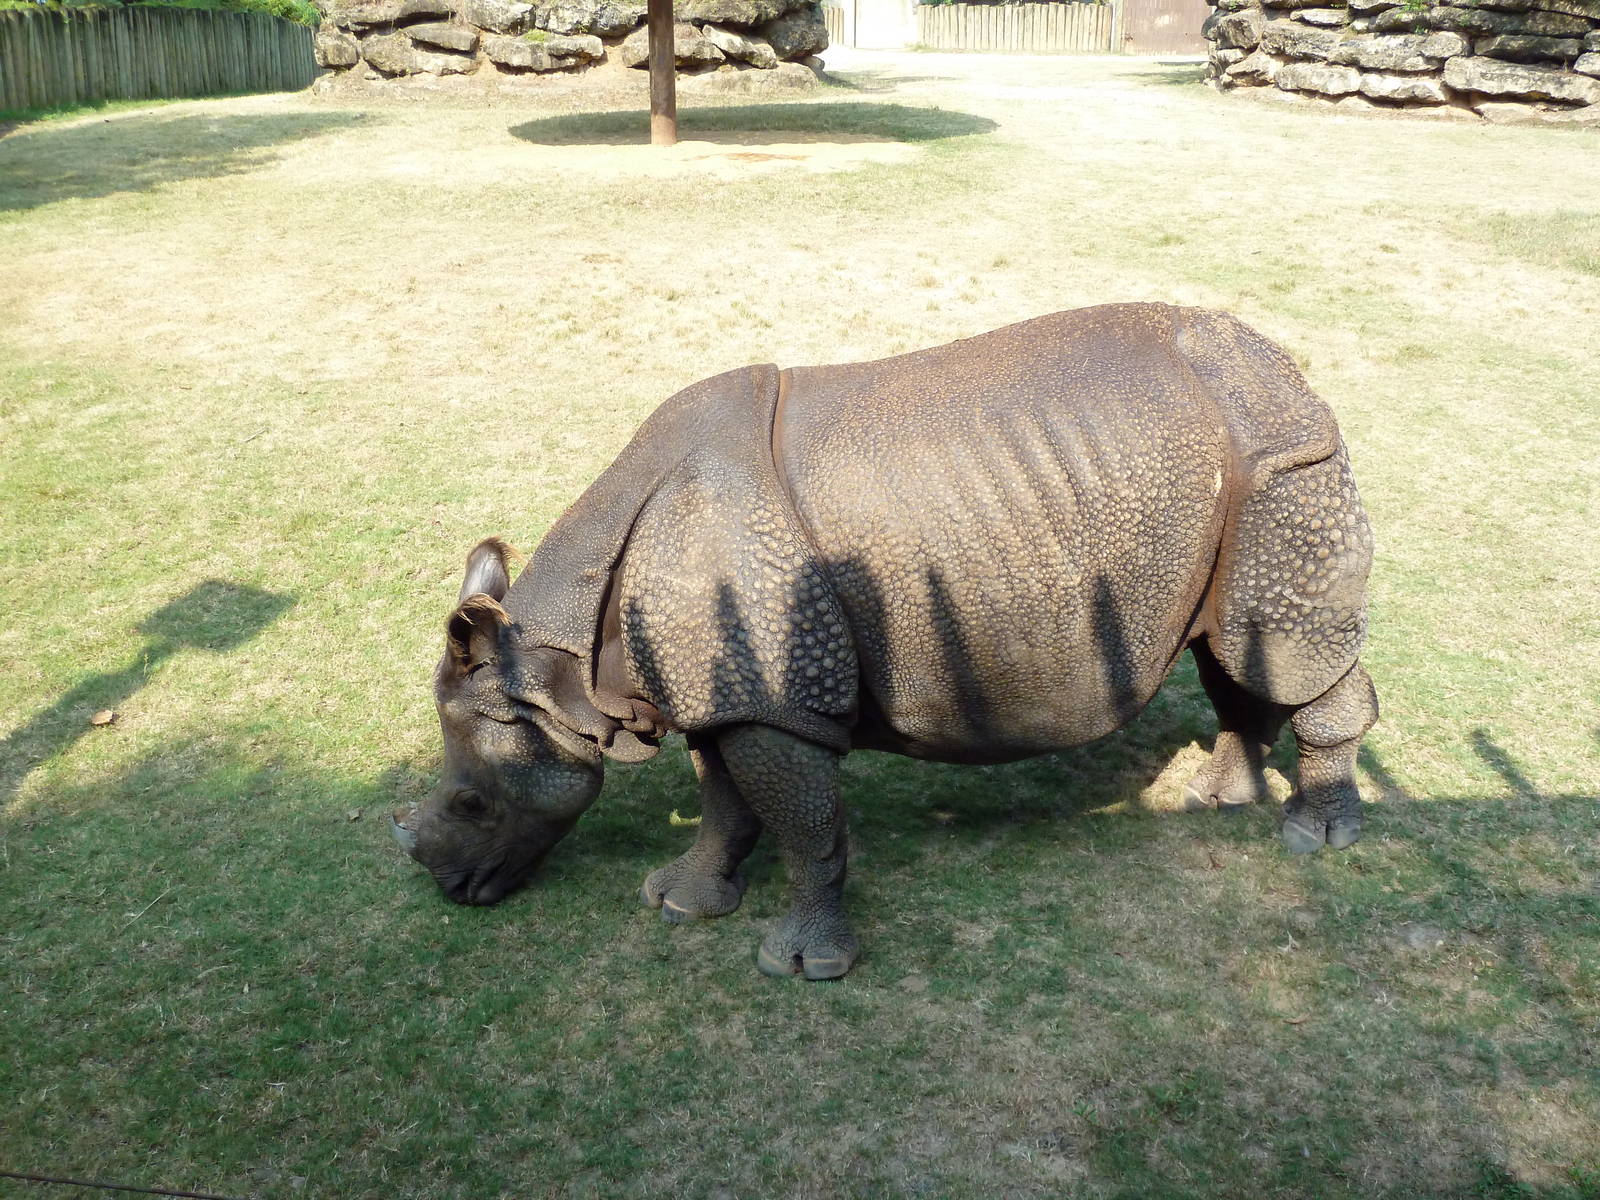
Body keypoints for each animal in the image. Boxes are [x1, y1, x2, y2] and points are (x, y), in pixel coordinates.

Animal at [392, 303, 1379, 979]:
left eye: (473, 804)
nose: (451, 890)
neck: (551, 663)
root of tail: (1284, 366)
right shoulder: (730, 688)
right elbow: (726, 803)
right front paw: (681, 904)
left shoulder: (767, 693)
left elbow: (803, 822)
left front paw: (803, 965)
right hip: (1242, 470)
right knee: (1233, 649)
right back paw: (1222, 801)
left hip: (1284, 461)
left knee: (1279, 644)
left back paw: (1318, 836)